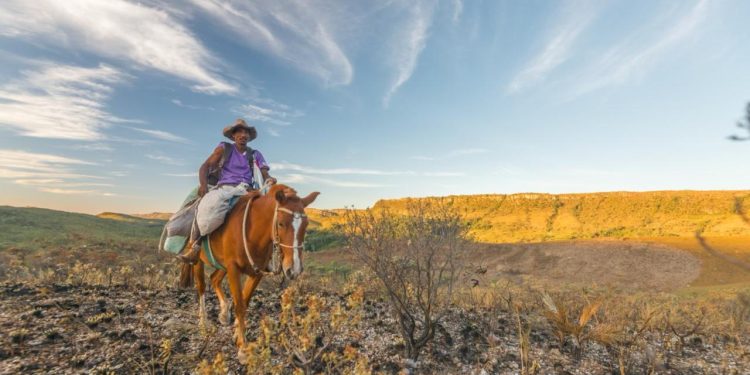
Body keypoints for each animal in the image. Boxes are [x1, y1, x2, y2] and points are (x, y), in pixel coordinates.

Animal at [181, 184, 318, 358]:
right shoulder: (233, 269)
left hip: (222, 265)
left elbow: (245, 300)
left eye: (306, 225)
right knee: (201, 286)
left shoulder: (256, 272)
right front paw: (243, 347)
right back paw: (203, 322)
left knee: (214, 279)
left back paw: (224, 313)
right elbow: (239, 305)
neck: (253, 233)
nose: (294, 269)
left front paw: (237, 334)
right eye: (281, 224)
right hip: (199, 261)